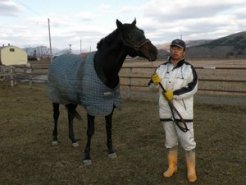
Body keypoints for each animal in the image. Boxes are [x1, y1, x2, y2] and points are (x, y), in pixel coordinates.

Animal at [47, 19, 158, 165]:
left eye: (142, 32)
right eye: (130, 36)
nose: (154, 52)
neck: (103, 69)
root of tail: (56, 59)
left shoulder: (109, 105)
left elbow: (108, 127)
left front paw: (111, 151)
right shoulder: (91, 106)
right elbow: (90, 131)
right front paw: (87, 156)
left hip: (72, 98)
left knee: (70, 116)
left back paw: (73, 140)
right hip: (55, 97)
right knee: (56, 115)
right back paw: (54, 139)